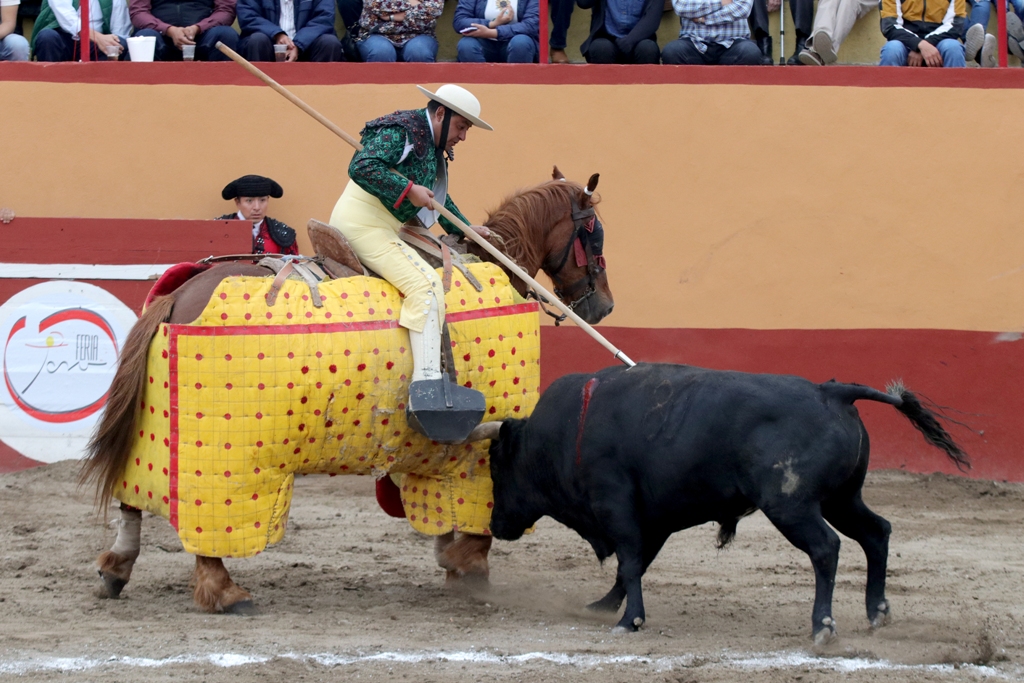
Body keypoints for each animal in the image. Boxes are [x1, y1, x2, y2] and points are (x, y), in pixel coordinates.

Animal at [79, 166, 614, 614]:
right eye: (594, 233)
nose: (604, 306)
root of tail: (178, 296)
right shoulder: (479, 448)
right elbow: (478, 512)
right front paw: (470, 567)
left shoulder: (433, 455)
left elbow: (439, 507)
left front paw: (451, 562)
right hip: (229, 455)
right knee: (205, 523)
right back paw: (224, 591)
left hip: (156, 429)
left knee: (133, 492)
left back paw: (115, 570)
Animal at [485, 366, 966, 643]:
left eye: (497, 470)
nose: (494, 525)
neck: (568, 430)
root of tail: (832, 392)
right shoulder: (653, 519)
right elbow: (633, 566)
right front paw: (606, 606)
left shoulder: (616, 505)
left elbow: (630, 562)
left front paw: (630, 620)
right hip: (841, 499)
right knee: (876, 532)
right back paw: (877, 611)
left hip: (792, 505)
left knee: (826, 548)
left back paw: (822, 626)